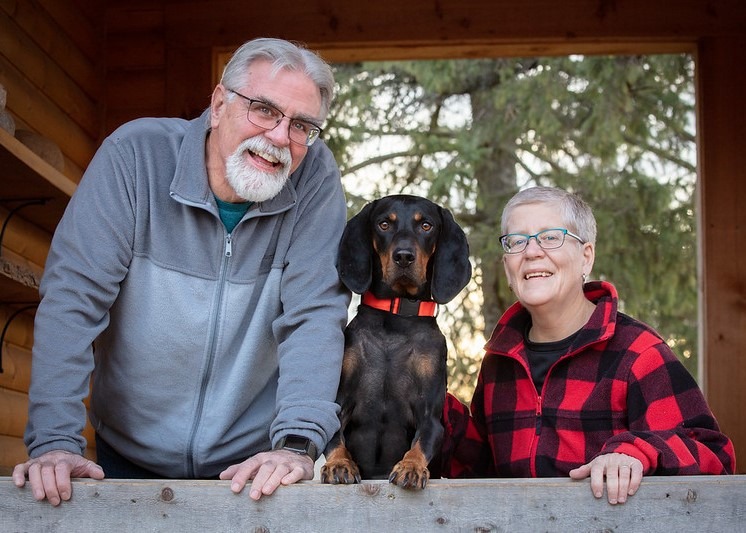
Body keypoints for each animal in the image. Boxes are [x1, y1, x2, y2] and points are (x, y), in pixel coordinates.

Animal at [320, 193, 470, 488]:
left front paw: (411, 467)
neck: (396, 320)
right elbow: (334, 437)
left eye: (426, 225)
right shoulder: (341, 400)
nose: (403, 257)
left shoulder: (430, 413)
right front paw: (339, 464)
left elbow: (422, 442)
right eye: (384, 224)